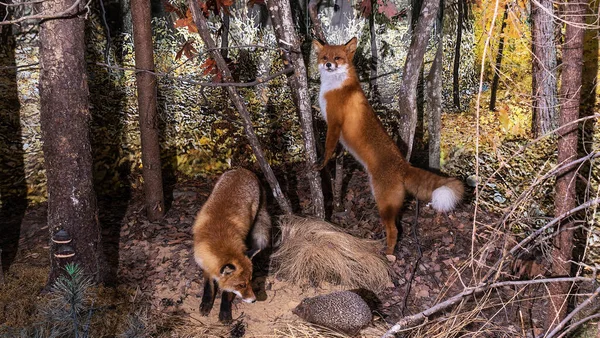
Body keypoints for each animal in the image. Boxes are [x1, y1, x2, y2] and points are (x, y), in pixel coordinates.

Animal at [192, 169, 272, 322]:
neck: (218, 238)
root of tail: (244, 170)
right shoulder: (205, 263)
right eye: (241, 285)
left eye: (250, 281)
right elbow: (209, 287)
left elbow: (227, 294)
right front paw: (206, 304)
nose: (254, 300)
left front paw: (224, 312)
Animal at [314, 37, 464, 256]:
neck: (336, 86)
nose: (328, 65)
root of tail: (403, 165)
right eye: (325, 57)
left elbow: (328, 148)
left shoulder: (334, 124)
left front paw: (321, 163)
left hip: (383, 203)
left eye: (338, 58)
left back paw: (388, 254)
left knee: (394, 230)